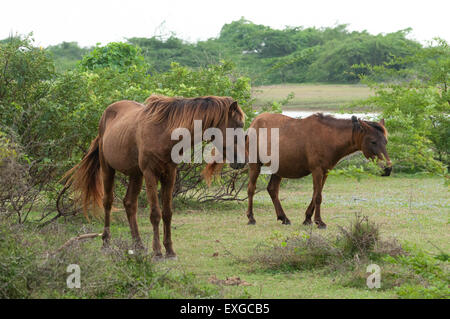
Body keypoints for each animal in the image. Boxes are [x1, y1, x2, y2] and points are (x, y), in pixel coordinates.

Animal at [64, 95, 244, 260]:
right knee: (108, 203)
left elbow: (167, 213)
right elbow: (155, 214)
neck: (164, 133)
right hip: (108, 169)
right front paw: (157, 251)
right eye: (239, 124)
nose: (241, 161)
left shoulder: (169, 174)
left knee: (130, 204)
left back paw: (138, 245)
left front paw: (170, 250)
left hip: (136, 174)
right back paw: (106, 243)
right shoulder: (150, 174)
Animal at [243, 114, 390, 229]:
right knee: (251, 189)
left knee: (272, 189)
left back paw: (283, 218)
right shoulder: (317, 170)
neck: (329, 138)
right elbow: (318, 197)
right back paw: (251, 218)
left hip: (279, 169)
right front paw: (319, 222)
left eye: (386, 141)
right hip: (255, 165)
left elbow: (315, 195)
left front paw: (308, 219)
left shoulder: (325, 172)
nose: (388, 169)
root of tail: (254, 122)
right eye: (373, 141)